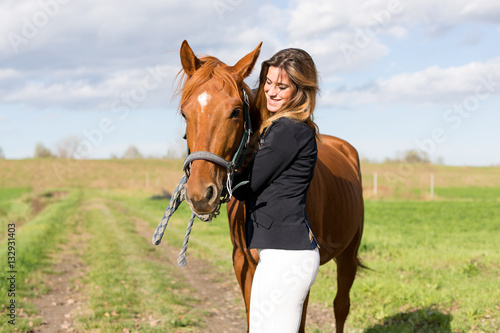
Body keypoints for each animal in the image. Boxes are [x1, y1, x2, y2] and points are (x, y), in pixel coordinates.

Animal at [178, 39, 366, 332]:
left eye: (235, 111)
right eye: (184, 112)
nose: (200, 194)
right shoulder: (243, 264)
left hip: (348, 254)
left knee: (341, 307)